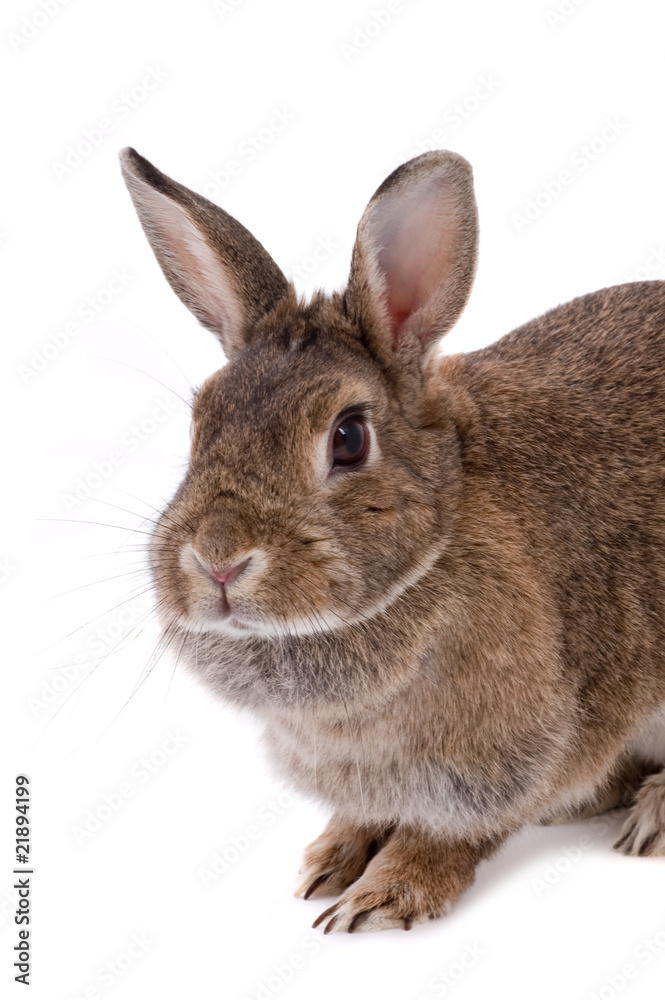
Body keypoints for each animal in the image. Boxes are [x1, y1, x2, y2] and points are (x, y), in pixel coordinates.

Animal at [119, 145, 665, 933]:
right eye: (200, 421)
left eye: (348, 437)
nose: (218, 561)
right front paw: (327, 861)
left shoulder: (519, 750)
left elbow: (454, 832)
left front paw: (382, 897)